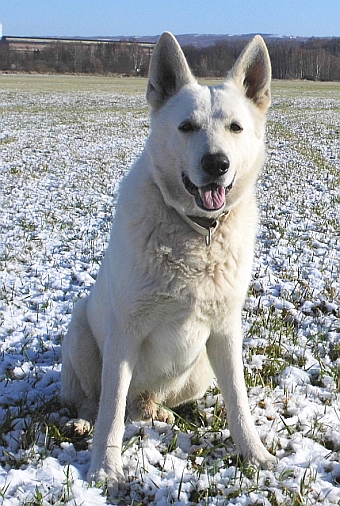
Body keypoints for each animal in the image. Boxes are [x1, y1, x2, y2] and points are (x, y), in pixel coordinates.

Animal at [61, 31, 276, 494]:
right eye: (187, 127)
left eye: (235, 128)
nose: (216, 163)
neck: (197, 233)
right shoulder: (124, 332)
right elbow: (110, 409)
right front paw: (105, 469)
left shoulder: (225, 331)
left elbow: (239, 400)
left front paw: (256, 455)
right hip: (82, 330)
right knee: (96, 401)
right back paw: (82, 424)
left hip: (199, 369)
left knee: (143, 403)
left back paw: (157, 411)